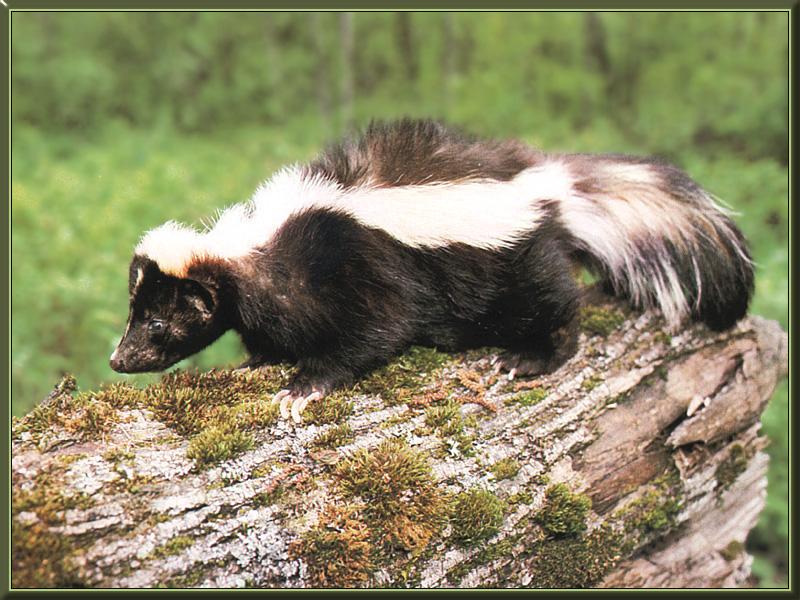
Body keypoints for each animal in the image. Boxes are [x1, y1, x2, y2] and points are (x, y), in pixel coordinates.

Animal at [109, 118, 752, 422]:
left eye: (158, 325)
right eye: (132, 317)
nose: (118, 359)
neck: (262, 248)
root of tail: (548, 183)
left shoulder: (360, 264)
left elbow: (378, 330)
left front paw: (305, 386)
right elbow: (270, 330)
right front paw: (257, 360)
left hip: (513, 265)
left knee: (554, 303)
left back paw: (530, 358)